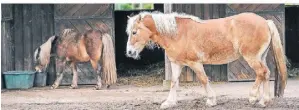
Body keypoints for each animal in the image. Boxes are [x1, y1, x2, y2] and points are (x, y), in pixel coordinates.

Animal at [125, 11, 288, 108]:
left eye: (134, 32)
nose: (129, 52)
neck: (177, 34)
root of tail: (265, 22)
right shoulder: (176, 64)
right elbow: (173, 82)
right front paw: (169, 102)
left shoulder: (195, 63)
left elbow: (203, 79)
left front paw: (211, 100)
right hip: (261, 57)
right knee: (266, 74)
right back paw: (264, 100)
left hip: (251, 57)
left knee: (261, 72)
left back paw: (254, 97)